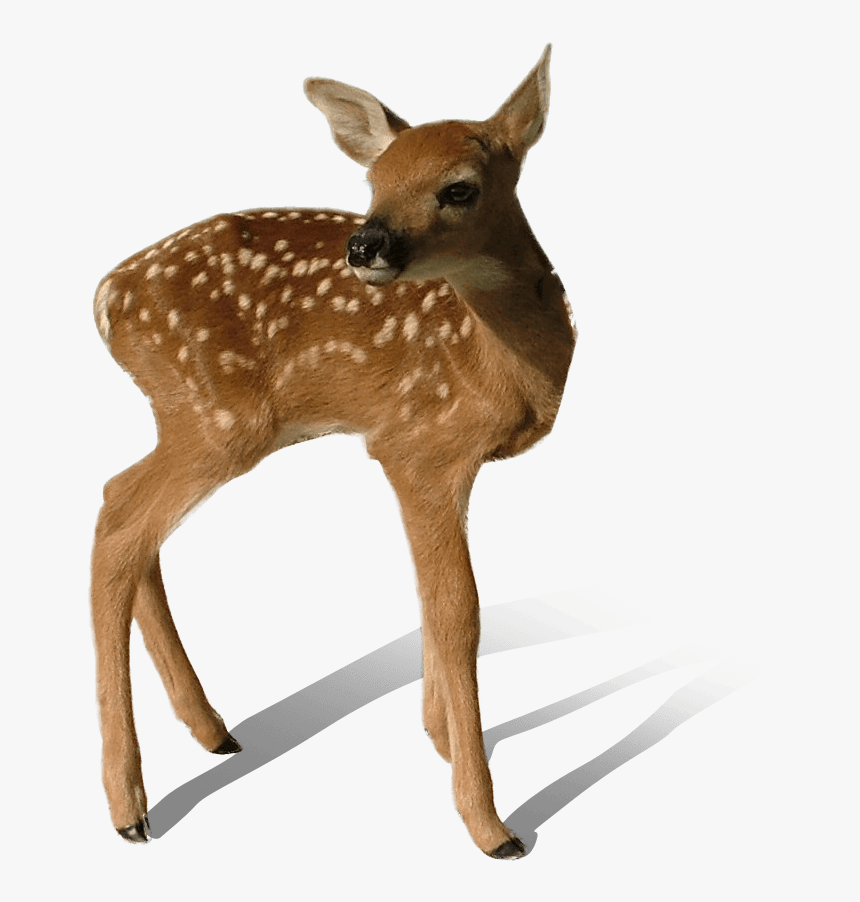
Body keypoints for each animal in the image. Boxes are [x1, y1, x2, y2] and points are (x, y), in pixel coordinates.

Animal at [91, 44, 575, 859]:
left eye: (458, 188)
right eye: (373, 184)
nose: (366, 243)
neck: (499, 358)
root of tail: (106, 297)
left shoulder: (430, 459)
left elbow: (431, 597)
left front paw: (437, 738)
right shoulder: (418, 446)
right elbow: (460, 611)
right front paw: (489, 825)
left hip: (188, 417)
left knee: (123, 508)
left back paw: (211, 731)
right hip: (219, 418)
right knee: (119, 523)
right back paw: (130, 808)